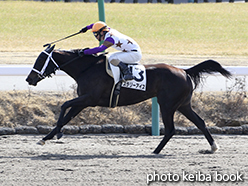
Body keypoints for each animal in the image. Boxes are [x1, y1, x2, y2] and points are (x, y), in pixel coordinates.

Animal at [26, 45, 232, 154]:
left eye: (40, 60)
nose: (29, 79)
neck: (87, 68)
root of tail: (184, 71)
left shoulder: (89, 98)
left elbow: (64, 105)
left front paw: (57, 133)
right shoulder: (83, 101)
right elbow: (68, 114)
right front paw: (47, 137)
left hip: (167, 104)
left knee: (171, 129)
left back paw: (155, 151)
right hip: (183, 105)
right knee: (200, 122)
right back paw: (213, 147)